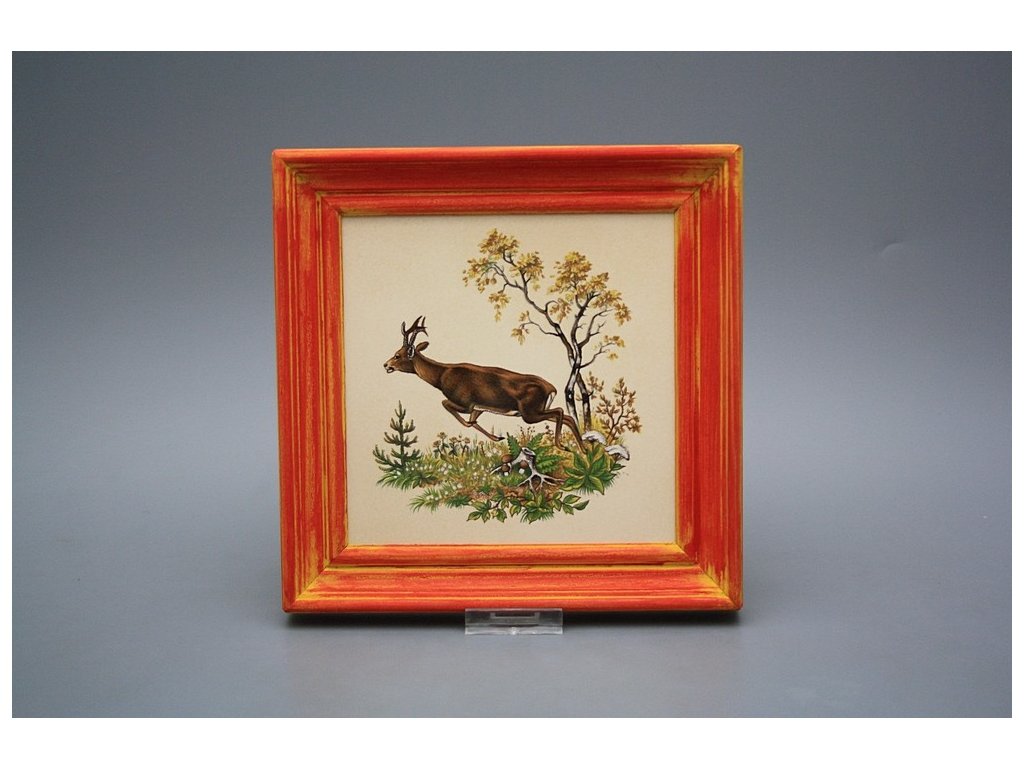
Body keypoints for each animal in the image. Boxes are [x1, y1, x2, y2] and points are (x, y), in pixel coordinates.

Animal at [383, 316, 584, 451]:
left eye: (397, 355)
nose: (386, 365)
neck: (441, 377)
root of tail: (552, 389)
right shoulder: (479, 406)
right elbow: (473, 421)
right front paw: (497, 437)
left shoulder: (465, 402)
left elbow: (447, 405)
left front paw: (483, 431)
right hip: (537, 410)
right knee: (568, 417)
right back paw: (583, 450)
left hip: (529, 412)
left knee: (561, 412)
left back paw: (563, 446)